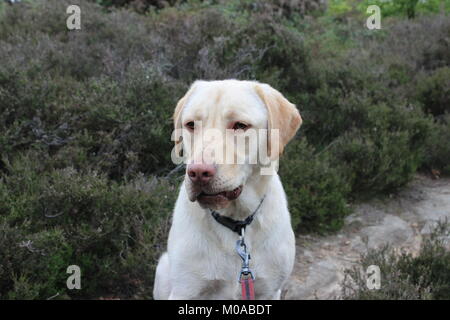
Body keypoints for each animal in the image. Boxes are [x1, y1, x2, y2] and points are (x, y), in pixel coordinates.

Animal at [153, 80, 300, 300]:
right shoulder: (185, 290)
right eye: (190, 125)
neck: (237, 223)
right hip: (163, 269)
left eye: (240, 125)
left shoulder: (270, 290)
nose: (198, 172)